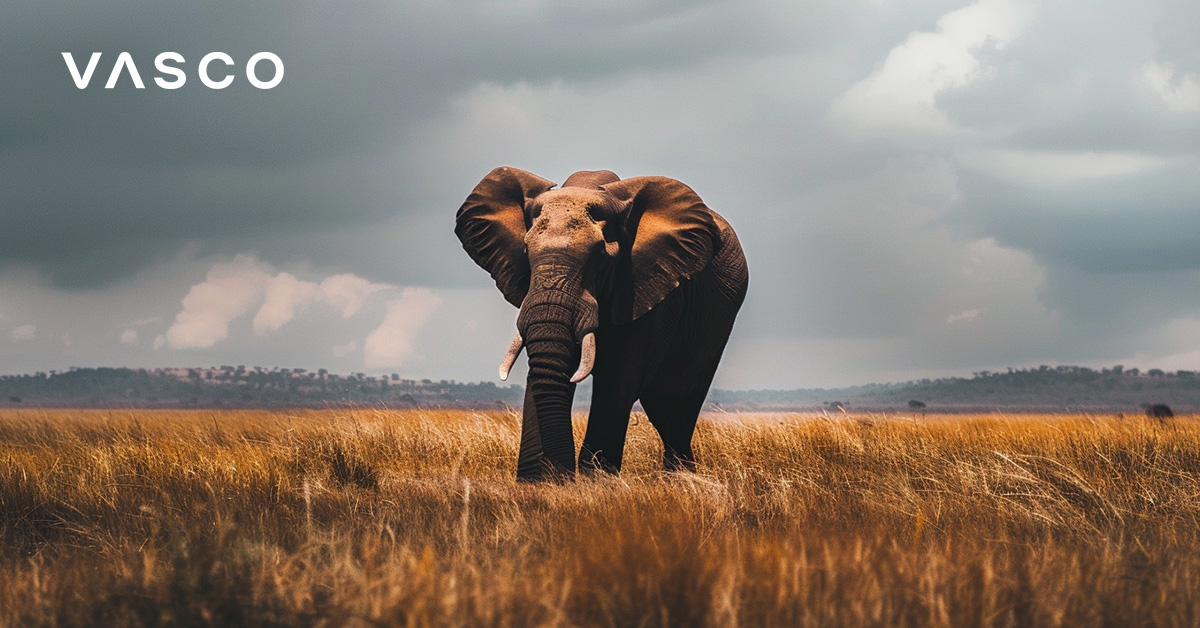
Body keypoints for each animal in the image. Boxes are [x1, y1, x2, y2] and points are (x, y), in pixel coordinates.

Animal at [453, 166, 744, 482]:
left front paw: (596, 482)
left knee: (677, 403)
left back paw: (680, 479)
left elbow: (619, 378)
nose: (561, 475)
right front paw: (537, 482)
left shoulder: (647, 285)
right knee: (661, 407)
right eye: (526, 251)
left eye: (601, 257)